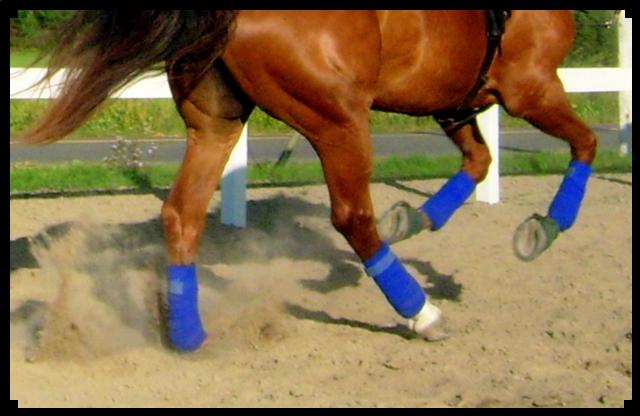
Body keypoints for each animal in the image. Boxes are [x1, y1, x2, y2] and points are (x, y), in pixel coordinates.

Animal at [21, 10, 597, 352]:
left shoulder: (452, 100)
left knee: (182, 214)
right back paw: (421, 313)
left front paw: (413, 217)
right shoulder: (529, 87)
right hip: (339, 121)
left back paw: (187, 333)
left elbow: (478, 161)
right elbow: (584, 144)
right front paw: (544, 228)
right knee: (353, 219)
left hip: (216, 122)